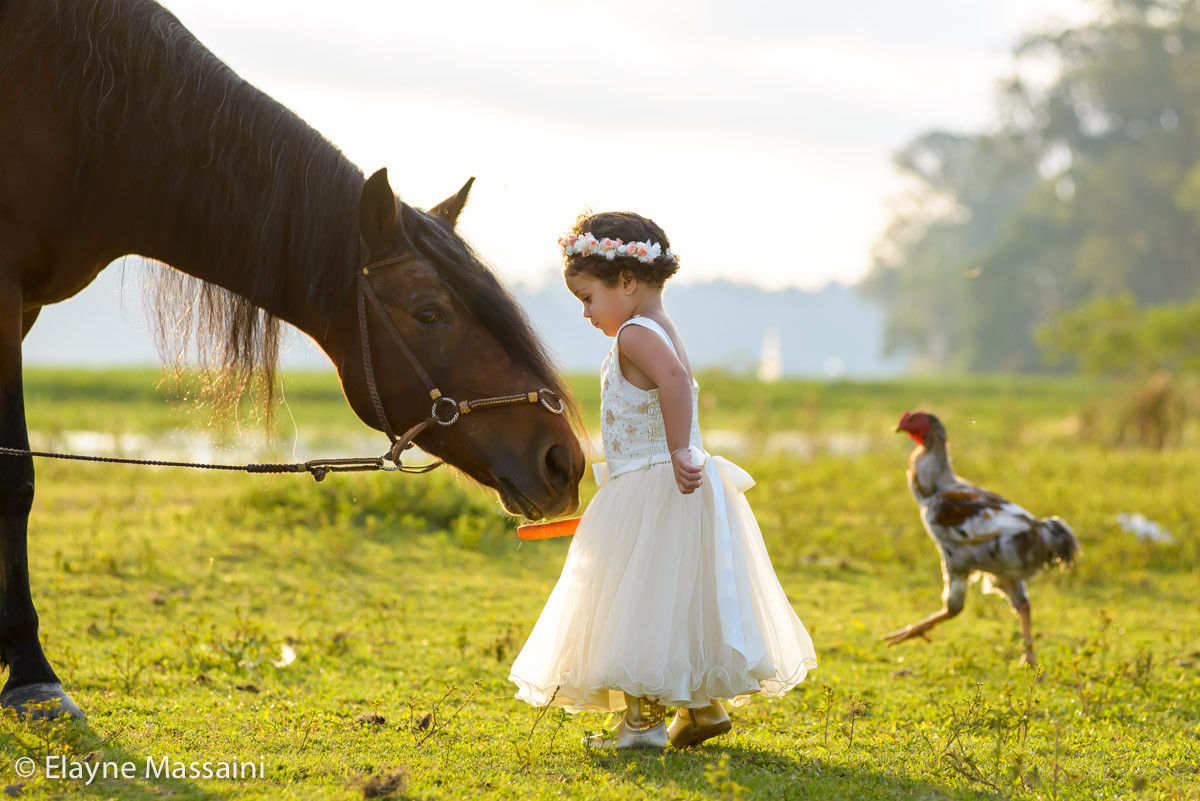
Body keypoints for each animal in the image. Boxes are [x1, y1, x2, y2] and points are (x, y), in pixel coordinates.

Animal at [0, 0, 585, 719]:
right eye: (429, 312)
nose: (563, 460)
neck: (93, 122)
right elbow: (15, 477)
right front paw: (32, 674)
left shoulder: (25, 305)